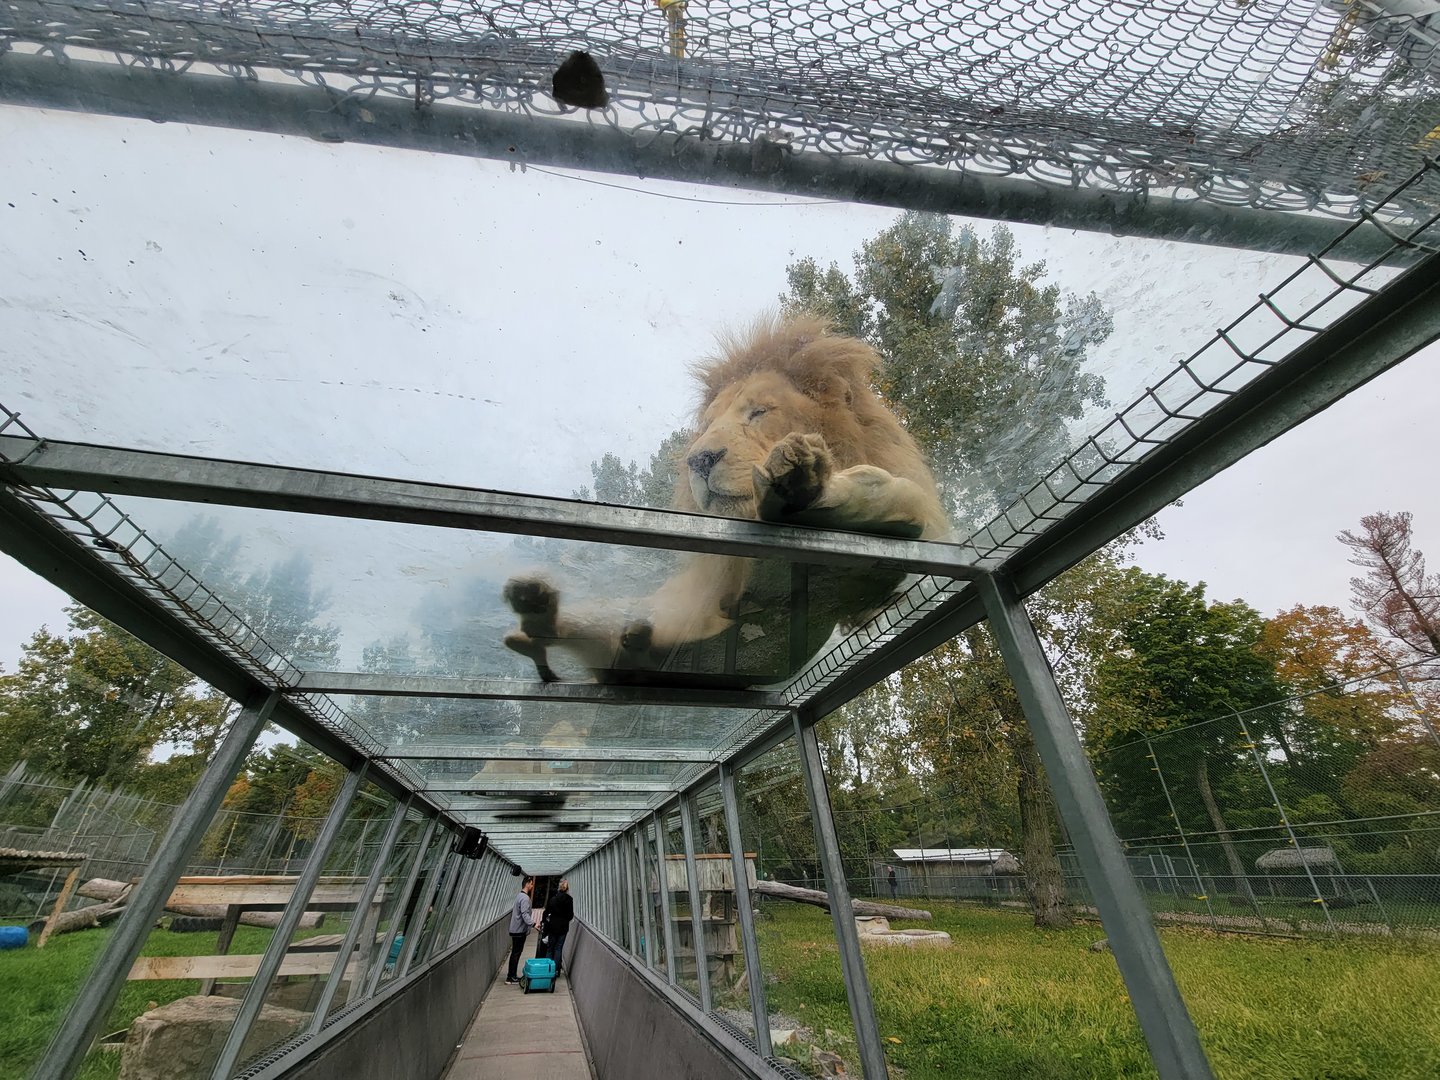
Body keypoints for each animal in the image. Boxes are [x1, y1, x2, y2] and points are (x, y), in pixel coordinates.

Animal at [502, 315, 949, 686]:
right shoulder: (726, 581)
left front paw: (807, 482)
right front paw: (795, 481)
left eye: (759, 412)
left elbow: (899, 492)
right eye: (709, 424)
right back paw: (539, 609)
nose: (698, 459)